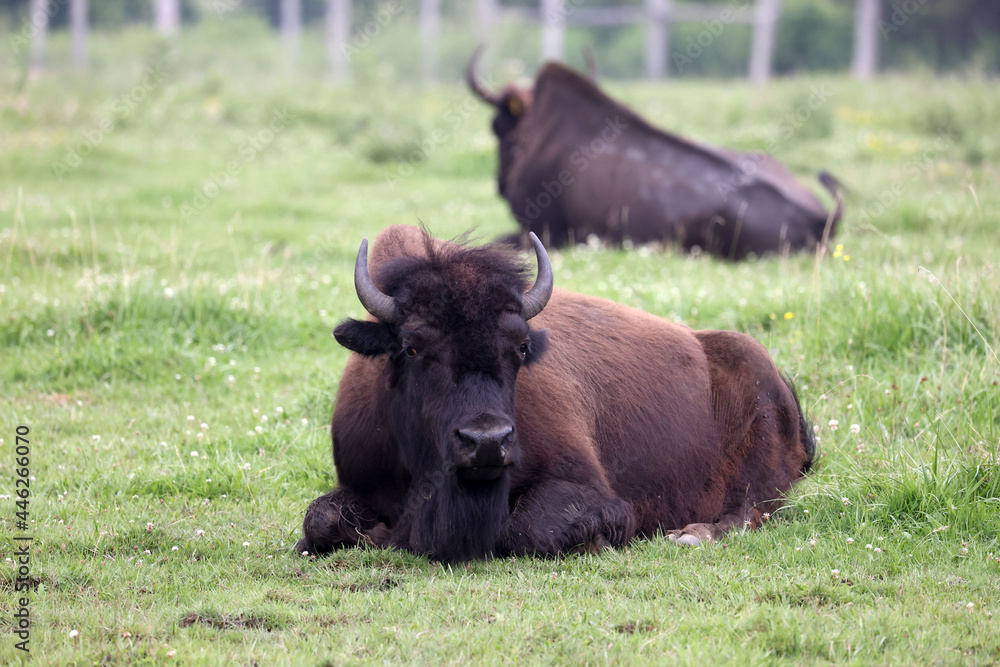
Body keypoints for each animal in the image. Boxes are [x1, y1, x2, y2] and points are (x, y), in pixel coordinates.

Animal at [294, 227, 812, 560]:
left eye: (521, 346)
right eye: (412, 346)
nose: (486, 442)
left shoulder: (590, 489)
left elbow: (528, 529)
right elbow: (319, 521)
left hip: (756, 472)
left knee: (747, 511)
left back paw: (690, 536)